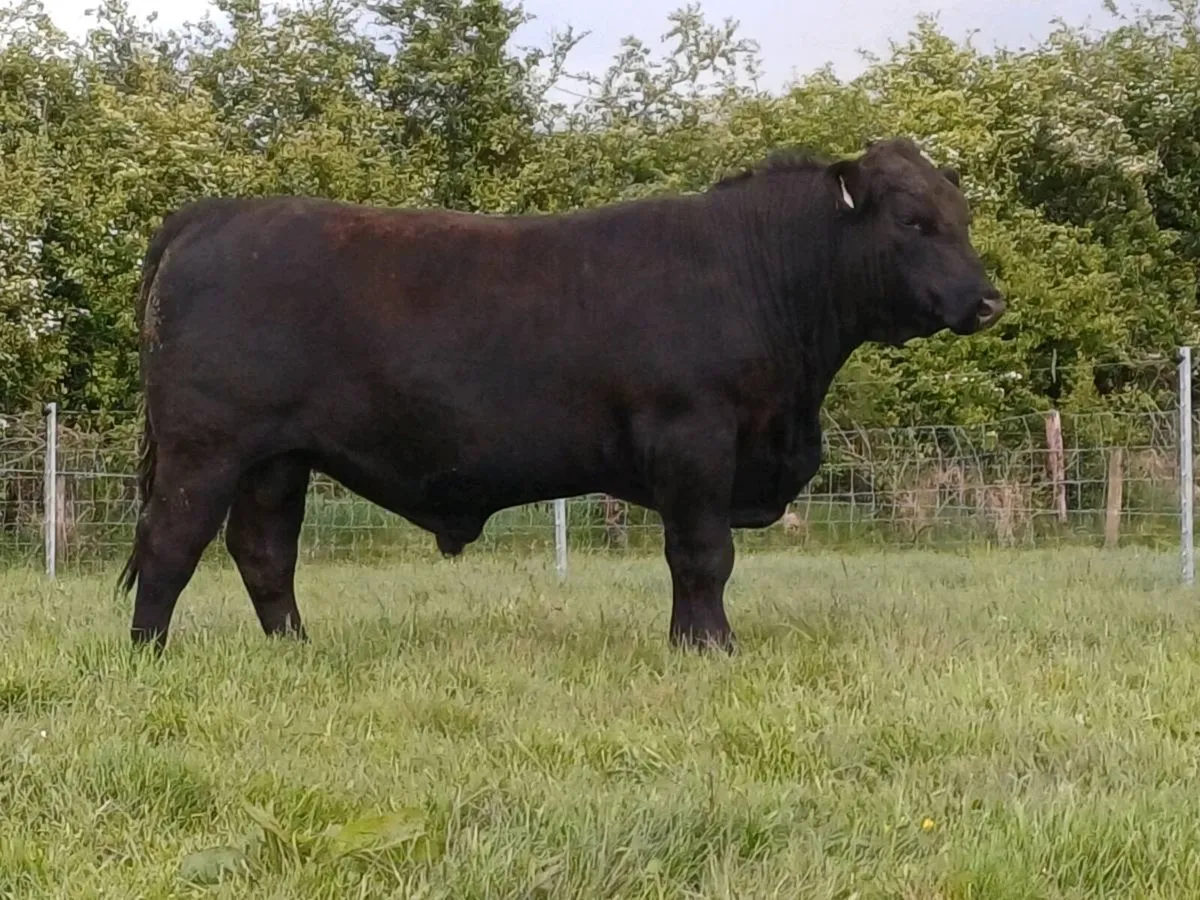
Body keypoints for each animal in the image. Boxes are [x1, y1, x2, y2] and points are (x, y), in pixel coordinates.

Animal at [117, 137, 1004, 653]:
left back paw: (294, 649)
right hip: (207, 445)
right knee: (168, 544)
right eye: (913, 221)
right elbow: (703, 555)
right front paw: (708, 646)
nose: (988, 300)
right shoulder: (694, 439)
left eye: (960, 216)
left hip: (278, 457)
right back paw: (148, 654)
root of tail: (216, 213)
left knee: (263, 551)